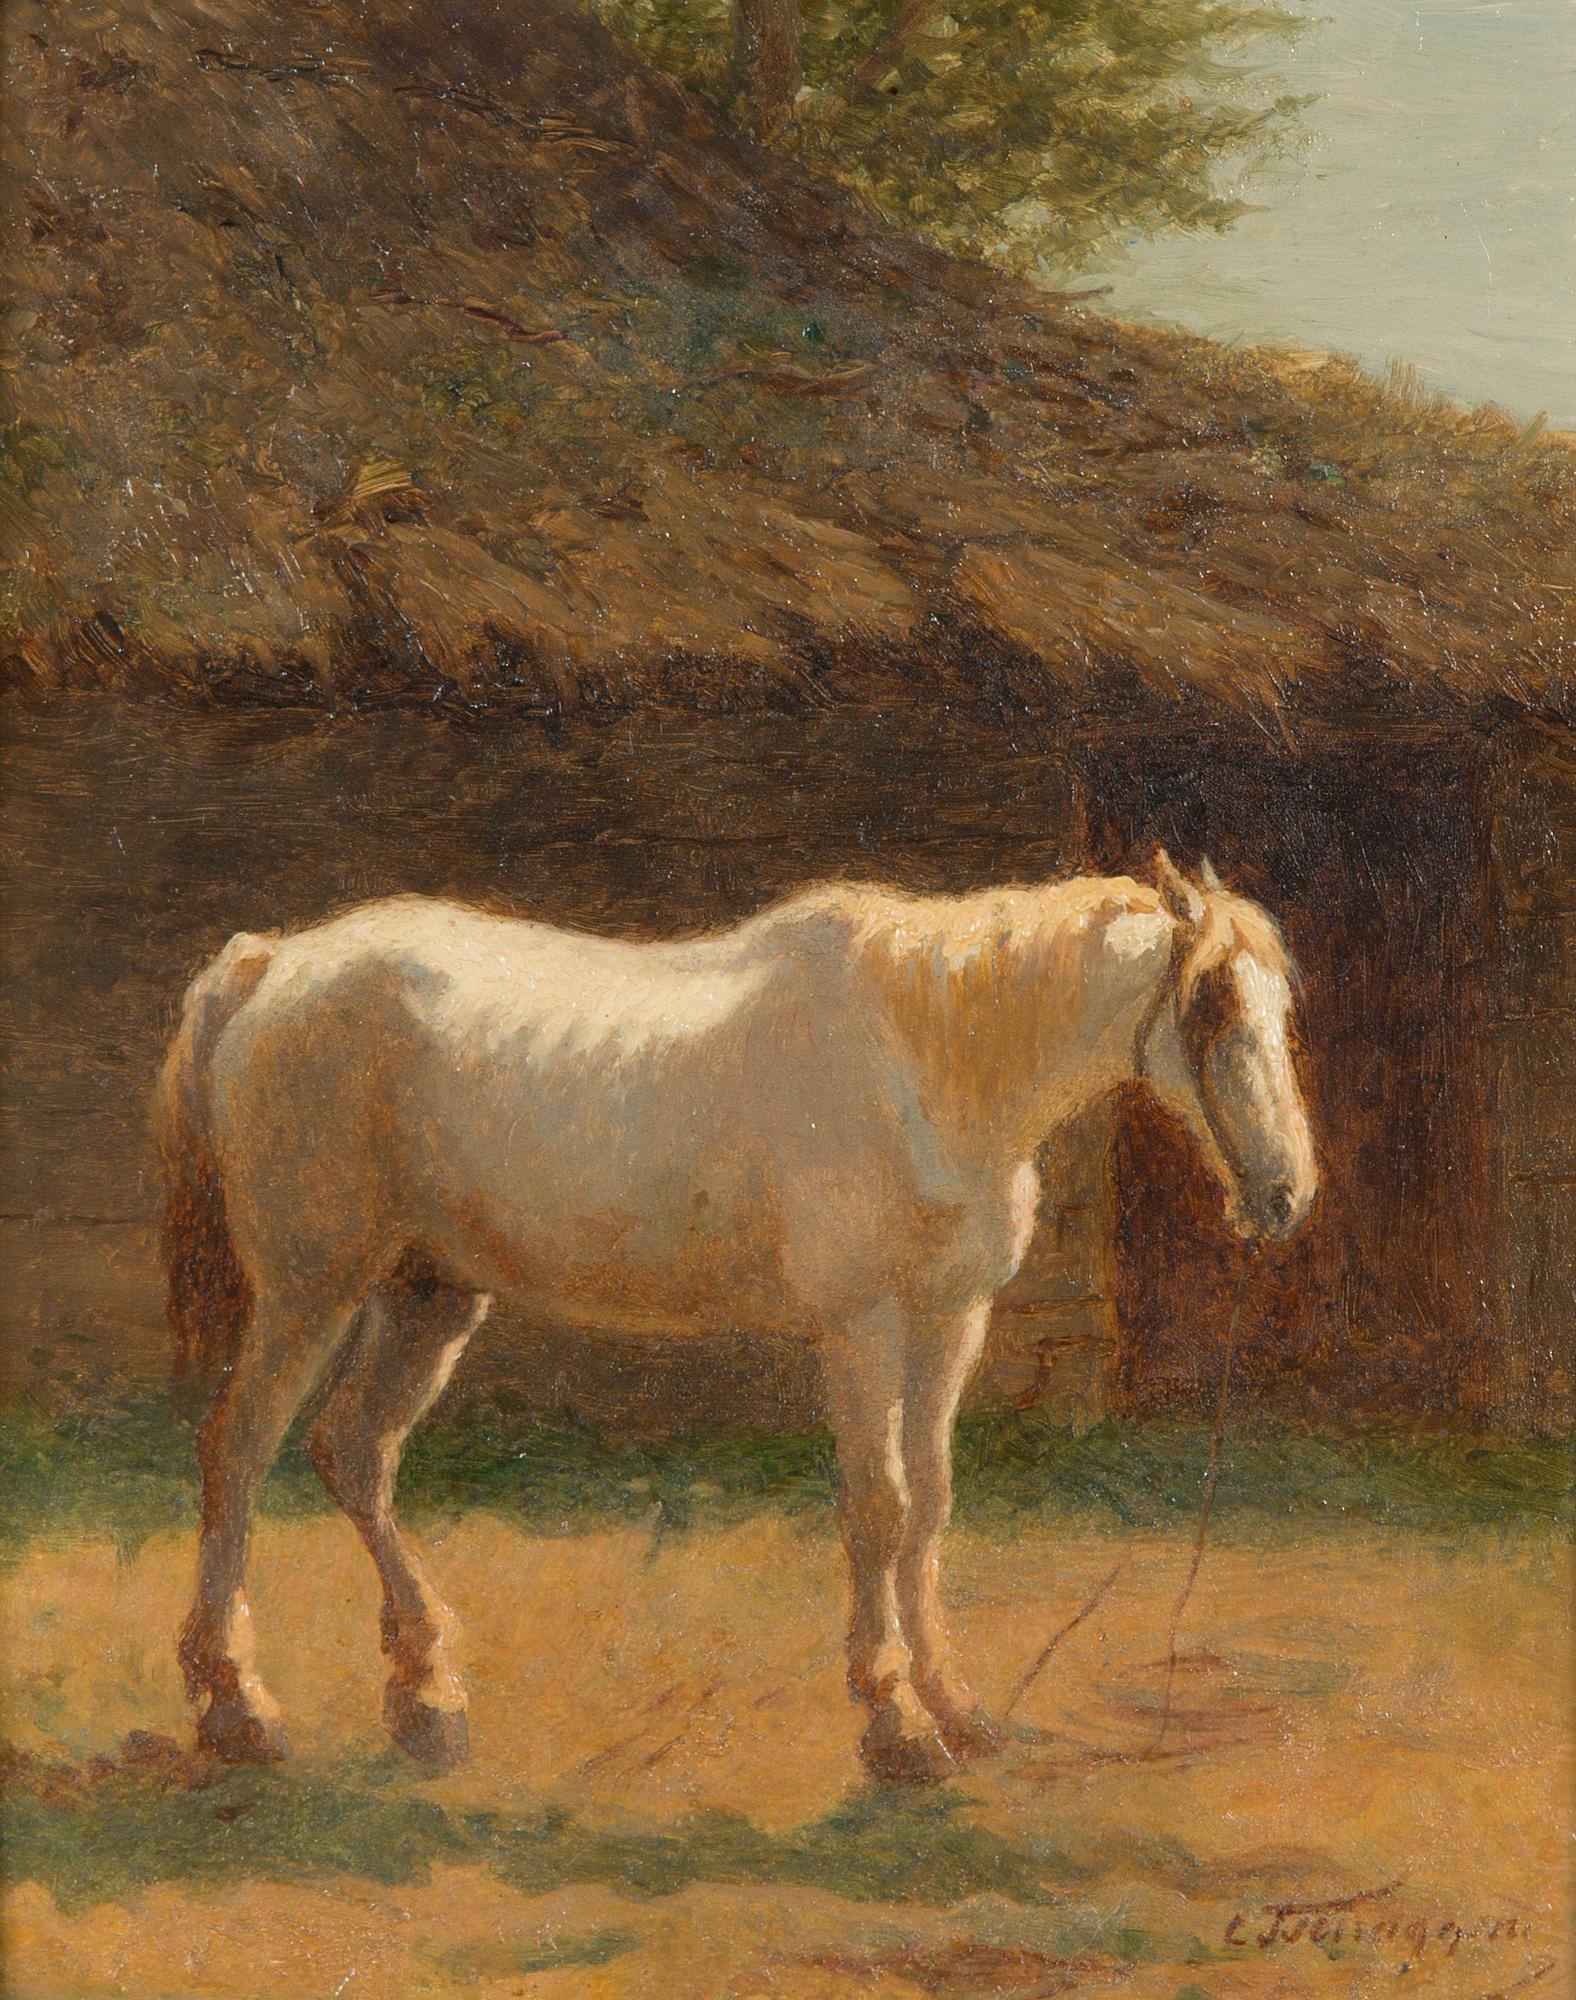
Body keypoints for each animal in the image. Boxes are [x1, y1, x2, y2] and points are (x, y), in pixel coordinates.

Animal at [158, 851, 1316, 1783]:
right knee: (238, 1449)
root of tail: (269, 964)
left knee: (353, 1451)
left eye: (1282, 1006)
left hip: (426, 1293)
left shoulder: (952, 1320)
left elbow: (933, 1505)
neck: (926, 1056)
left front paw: (958, 1708)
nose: (1283, 1196)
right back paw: (237, 1708)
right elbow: (879, 1508)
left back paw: (426, 1701)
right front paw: (896, 1725)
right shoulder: (861, 1324)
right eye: (1210, 1004)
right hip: (312, 1288)